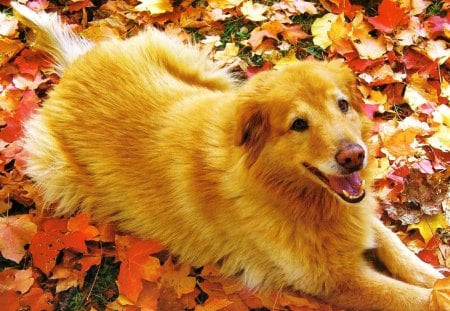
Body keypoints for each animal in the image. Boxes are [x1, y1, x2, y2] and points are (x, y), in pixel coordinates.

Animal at [13, 3, 442, 311]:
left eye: (342, 105)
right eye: (298, 124)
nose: (356, 157)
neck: (288, 191)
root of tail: (75, 68)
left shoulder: (358, 215)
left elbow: (397, 247)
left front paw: (433, 274)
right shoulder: (337, 281)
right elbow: (415, 299)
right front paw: (437, 292)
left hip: (207, 71)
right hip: (56, 172)